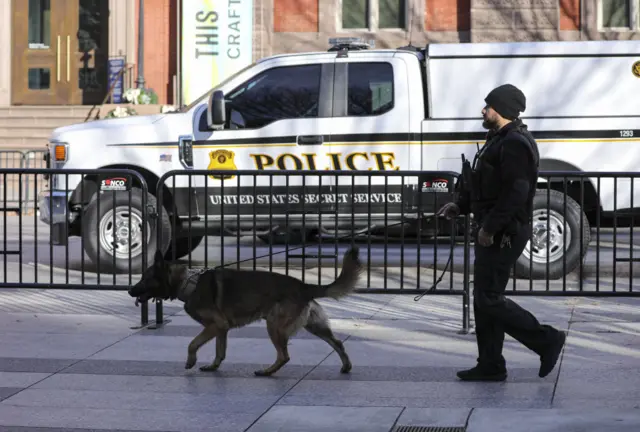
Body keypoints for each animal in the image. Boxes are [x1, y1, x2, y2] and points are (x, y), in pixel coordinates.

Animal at [129, 246, 364, 374]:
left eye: (144, 278)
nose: (130, 290)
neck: (189, 283)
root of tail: (303, 285)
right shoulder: (221, 329)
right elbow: (220, 351)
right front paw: (213, 366)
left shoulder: (215, 326)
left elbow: (192, 343)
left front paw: (191, 361)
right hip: (314, 326)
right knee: (337, 343)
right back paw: (346, 366)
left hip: (274, 325)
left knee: (284, 356)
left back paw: (267, 372)